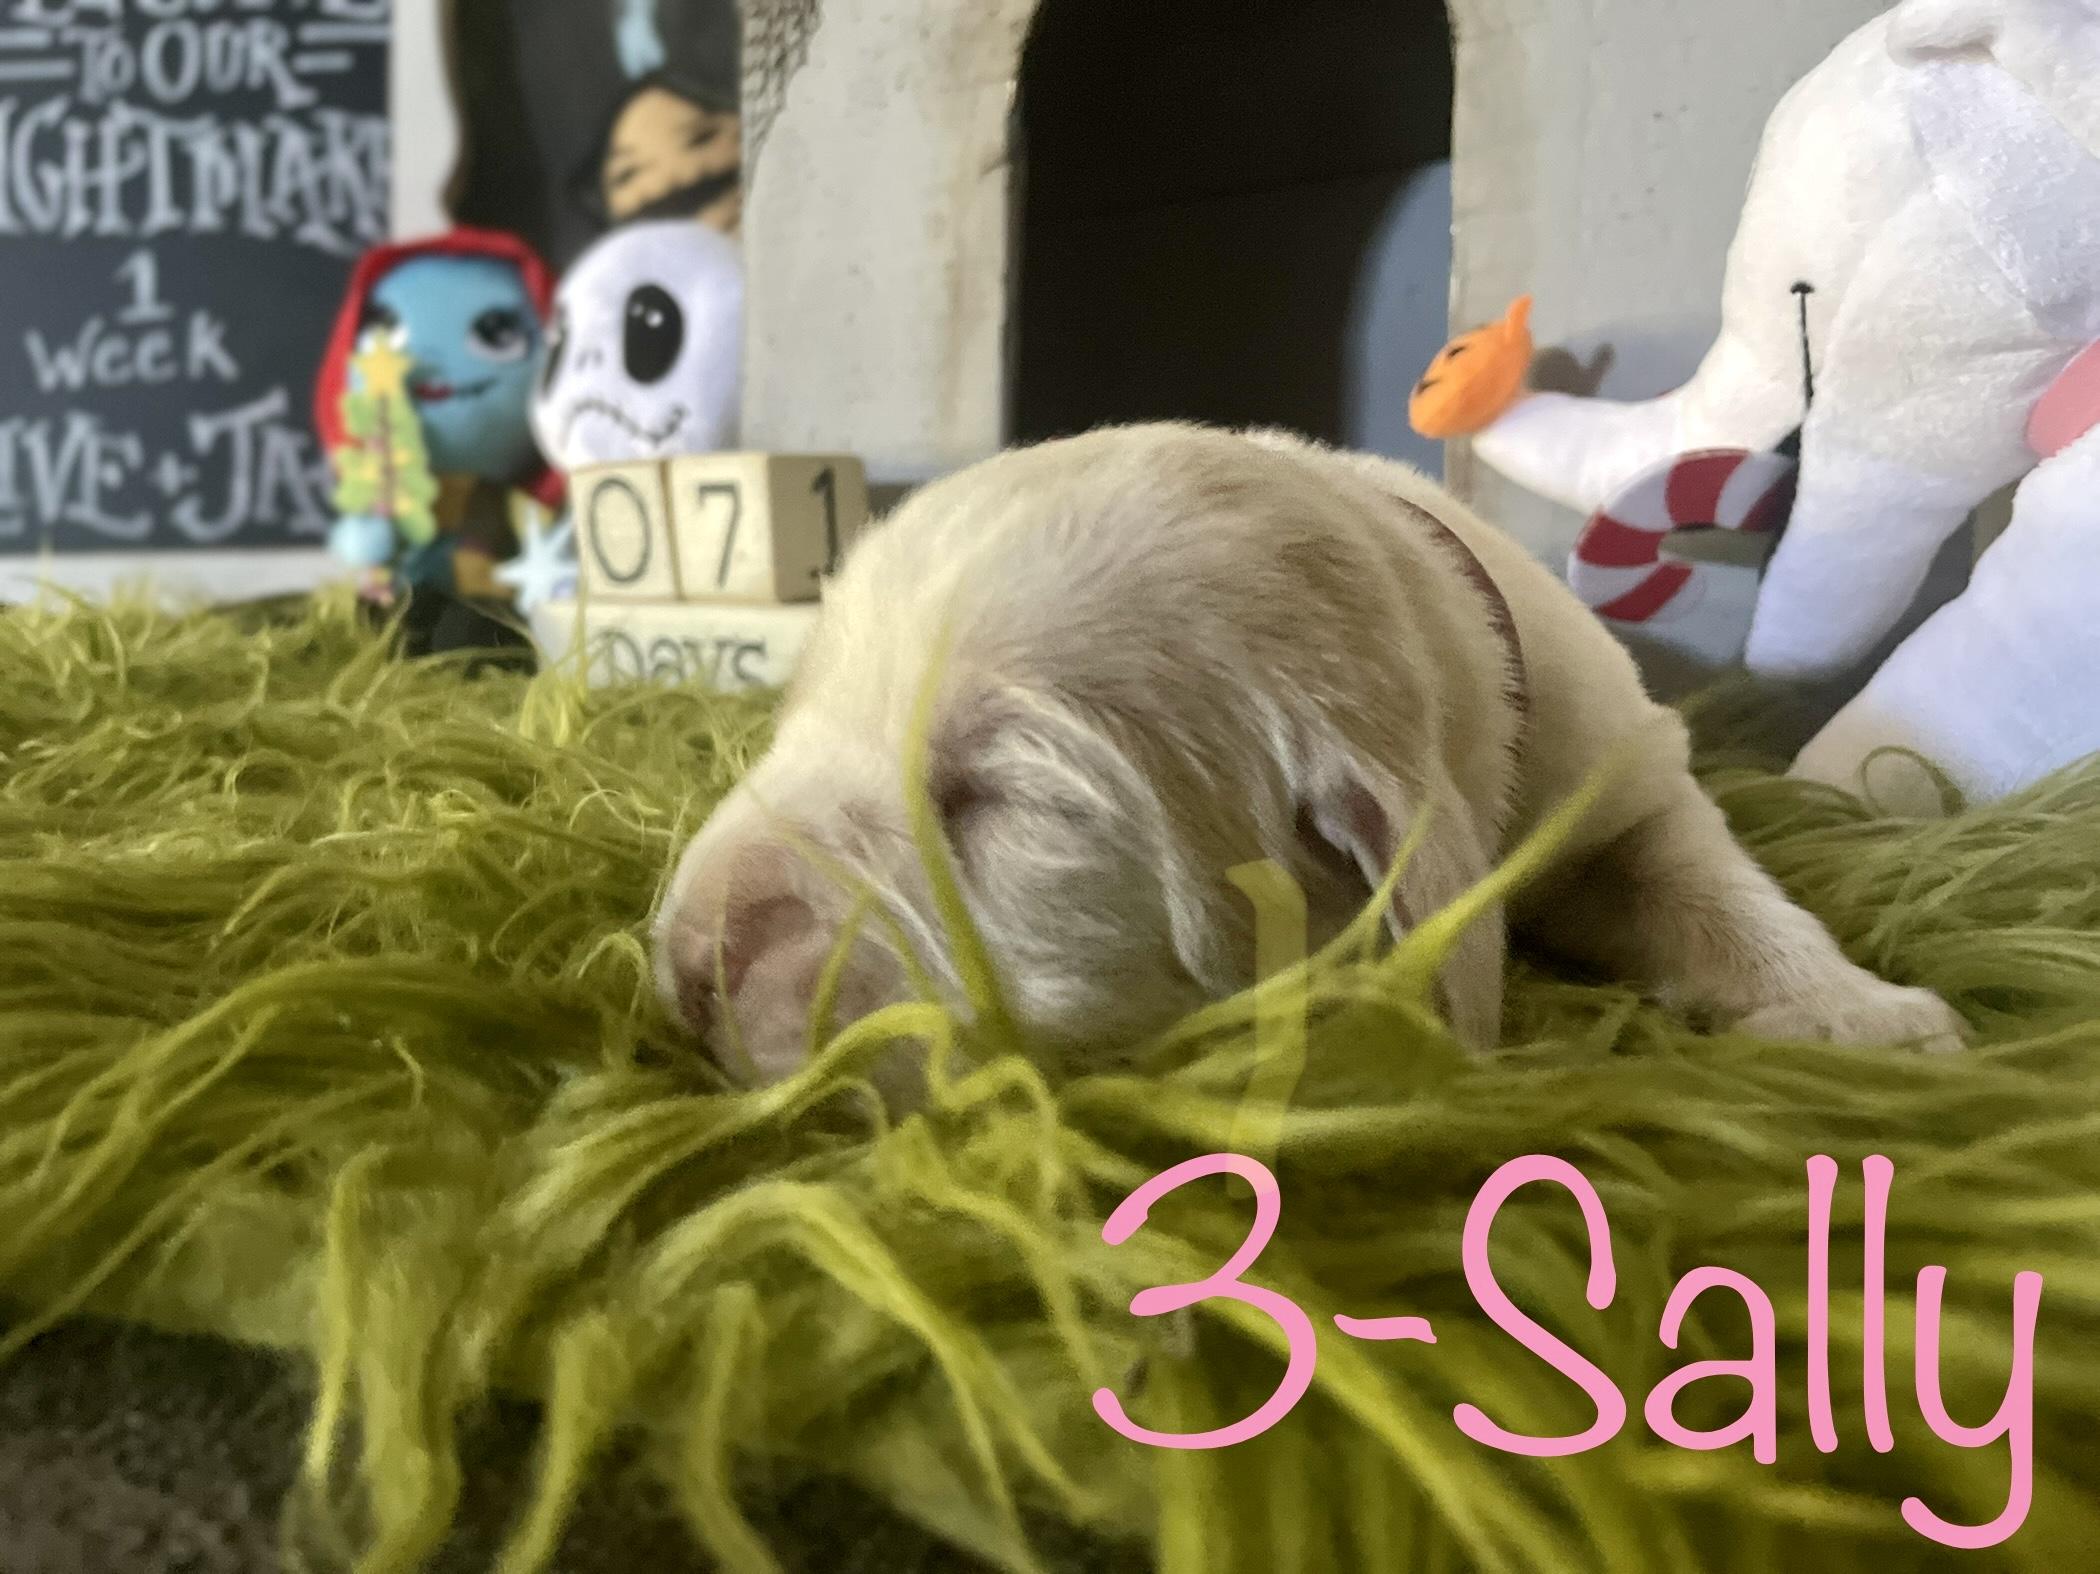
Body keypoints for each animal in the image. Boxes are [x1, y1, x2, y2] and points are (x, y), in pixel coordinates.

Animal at [653, 424, 1964, 1085]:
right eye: (794, 712)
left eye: (1007, 801)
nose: (688, 962)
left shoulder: (1627, 769)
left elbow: (1709, 875)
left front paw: (1862, 1014)